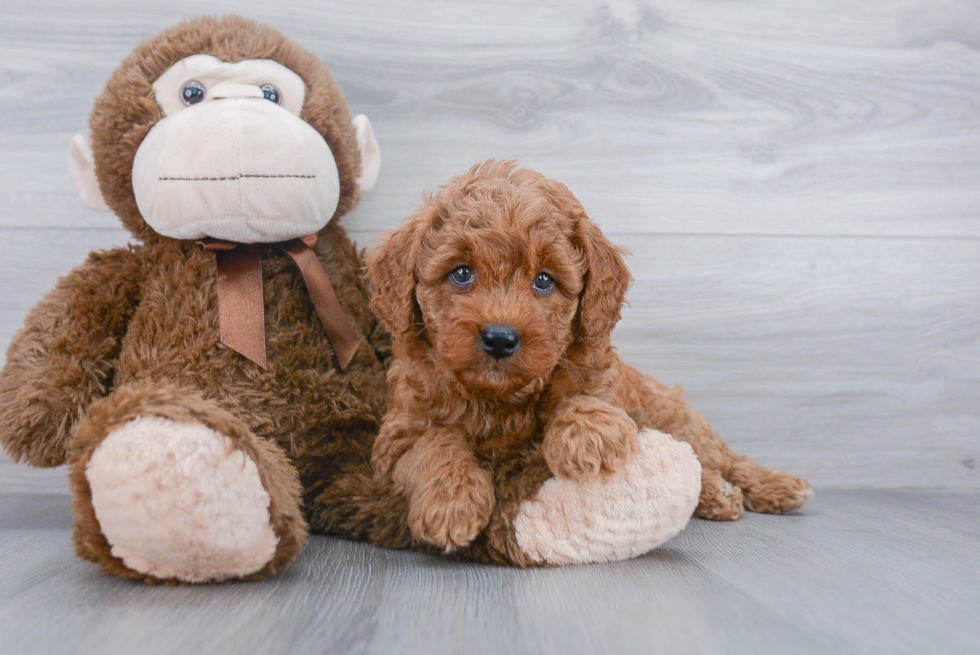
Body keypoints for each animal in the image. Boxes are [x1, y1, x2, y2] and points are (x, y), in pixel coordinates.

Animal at [368, 160, 812, 560]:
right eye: (461, 273)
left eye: (543, 280)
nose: (500, 338)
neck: (499, 398)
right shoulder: (398, 434)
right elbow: (432, 445)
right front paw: (450, 504)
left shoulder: (603, 381)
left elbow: (586, 394)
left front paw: (588, 438)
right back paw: (717, 495)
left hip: (678, 419)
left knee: (726, 458)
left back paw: (773, 486)